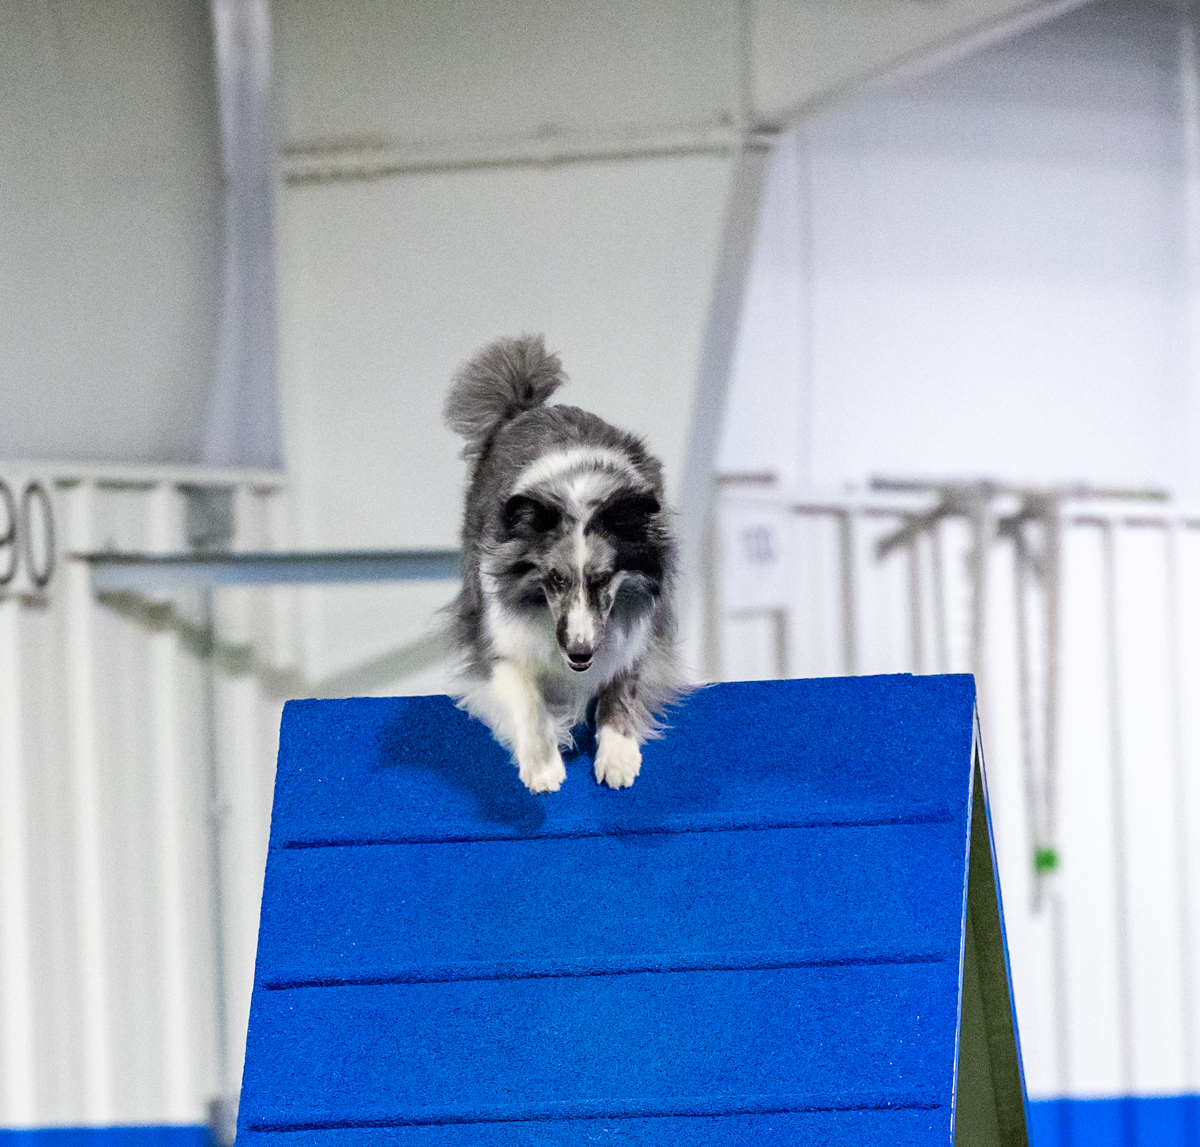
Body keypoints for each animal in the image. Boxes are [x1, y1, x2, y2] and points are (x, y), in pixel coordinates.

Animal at [444, 335, 681, 793]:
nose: (580, 652)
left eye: (604, 579)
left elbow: (623, 684)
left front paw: (618, 755)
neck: (578, 493)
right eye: (554, 579)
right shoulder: (496, 639)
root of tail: (525, 409)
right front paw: (543, 762)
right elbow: (526, 693)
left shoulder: (640, 628)